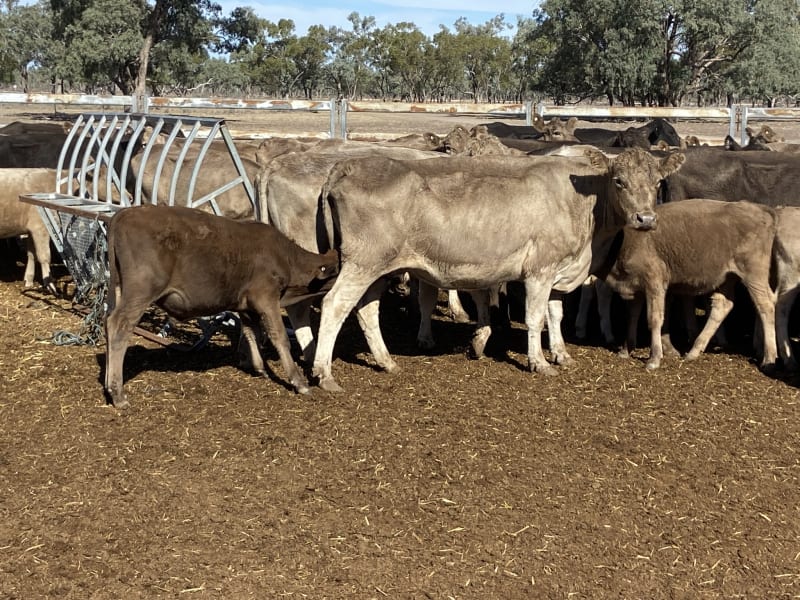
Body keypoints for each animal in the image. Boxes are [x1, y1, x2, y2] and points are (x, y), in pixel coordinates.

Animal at [103, 204, 340, 409]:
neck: (285, 256)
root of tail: (124, 213)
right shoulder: (266, 297)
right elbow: (279, 337)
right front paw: (299, 382)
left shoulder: (246, 305)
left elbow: (252, 332)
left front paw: (259, 367)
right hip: (140, 292)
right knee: (118, 326)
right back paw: (118, 394)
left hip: (120, 288)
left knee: (108, 324)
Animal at [311, 148, 685, 392]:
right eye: (619, 181)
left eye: (657, 182)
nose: (645, 219)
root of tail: (347, 165)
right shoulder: (539, 269)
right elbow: (535, 317)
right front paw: (539, 362)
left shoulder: (558, 269)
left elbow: (555, 314)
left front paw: (561, 354)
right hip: (363, 262)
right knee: (335, 305)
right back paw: (324, 373)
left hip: (378, 267)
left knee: (366, 310)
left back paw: (387, 361)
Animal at [600, 199, 777, 370]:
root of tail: (761, 209)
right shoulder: (636, 287)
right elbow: (632, 316)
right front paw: (625, 350)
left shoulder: (654, 282)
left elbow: (654, 318)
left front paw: (654, 359)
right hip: (727, 277)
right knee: (722, 306)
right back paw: (693, 351)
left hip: (753, 274)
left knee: (766, 306)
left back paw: (769, 358)